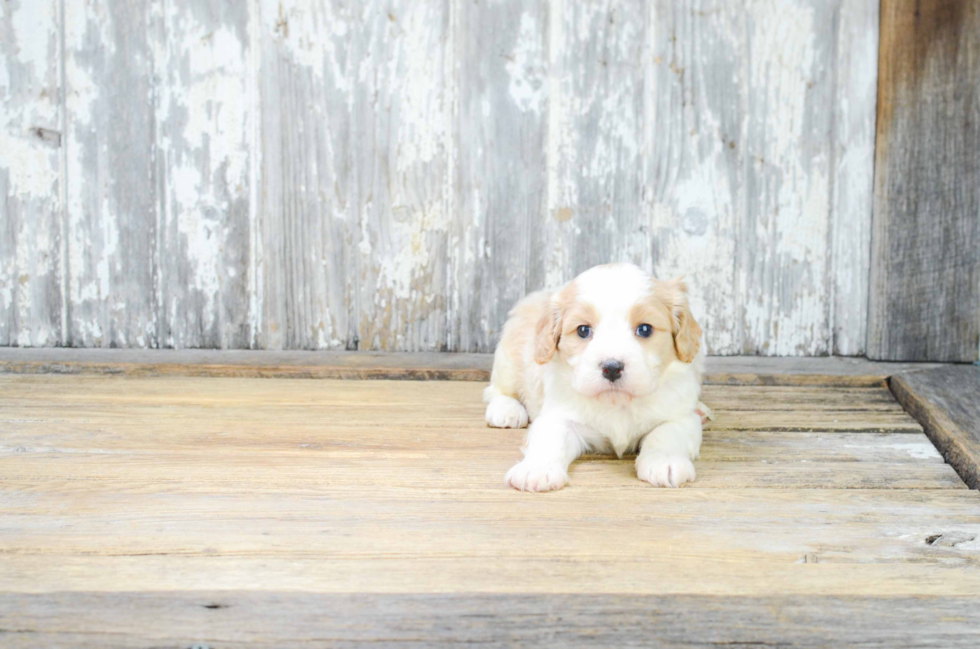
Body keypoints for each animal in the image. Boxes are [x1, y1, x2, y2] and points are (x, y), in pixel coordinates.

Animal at [484, 264, 704, 492]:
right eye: (583, 330)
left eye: (645, 329)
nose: (612, 368)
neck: (618, 403)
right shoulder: (559, 416)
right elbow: (551, 439)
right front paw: (537, 470)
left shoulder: (681, 417)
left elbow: (667, 434)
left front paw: (665, 461)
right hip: (508, 360)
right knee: (497, 390)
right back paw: (506, 410)